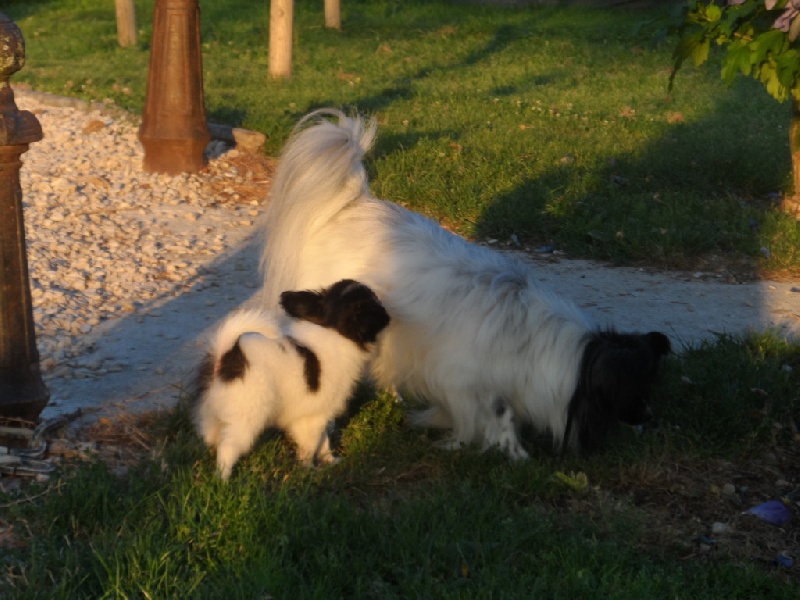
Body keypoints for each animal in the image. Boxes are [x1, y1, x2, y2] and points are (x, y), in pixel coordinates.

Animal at [197, 278, 390, 480]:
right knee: (228, 447)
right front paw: (309, 470)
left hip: (216, 413)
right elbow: (311, 446)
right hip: (247, 418)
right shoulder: (313, 418)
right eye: (374, 303)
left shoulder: (316, 414)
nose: (388, 314)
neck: (335, 330)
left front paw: (330, 461)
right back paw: (223, 479)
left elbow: (323, 442)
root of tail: (227, 357)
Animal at [260, 109, 672, 460]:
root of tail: (351, 207)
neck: (538, 347)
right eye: (634, 391)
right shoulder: (463, 383)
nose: (651, 417)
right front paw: (499, 452)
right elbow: (487, 420)